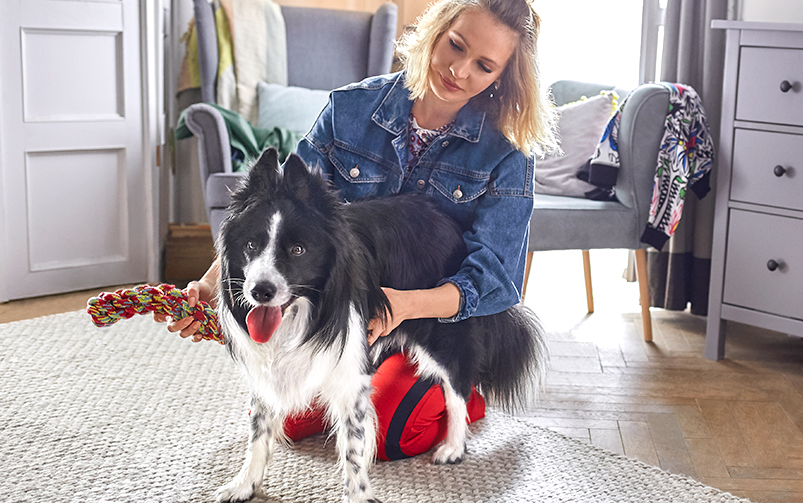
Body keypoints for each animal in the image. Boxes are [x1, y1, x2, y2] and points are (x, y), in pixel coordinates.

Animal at [217, 148, 548, 502]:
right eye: (251, 245)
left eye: (298, 249)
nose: (260, 291)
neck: (306, 313)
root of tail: (450, 224)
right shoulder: (267, 369)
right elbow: (259, 429)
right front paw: (245, 484)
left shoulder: (351, 375)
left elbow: (352, 447)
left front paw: (358, 495)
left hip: (444, 334)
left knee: (458, 386)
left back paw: (454, 447)